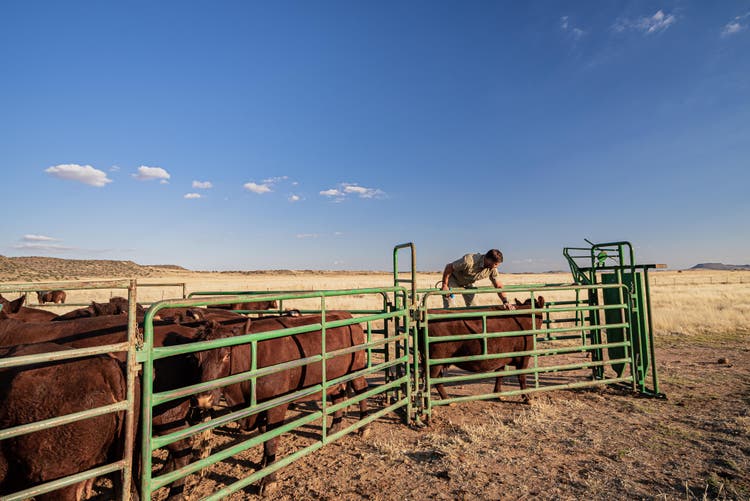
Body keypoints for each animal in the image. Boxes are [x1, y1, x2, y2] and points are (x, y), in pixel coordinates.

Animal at [194, 310, 370, 490]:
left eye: (227, 355)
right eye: (196, 356)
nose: (203, 399)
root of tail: (345, 314)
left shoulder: (276, 406)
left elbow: (272, 439)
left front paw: (268, 479)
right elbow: (264, 435)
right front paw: (263, 463)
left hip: (357, 369)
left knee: (362, 390)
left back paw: (364, 426)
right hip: (334, 379)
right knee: (338, 398)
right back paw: (334, 428)